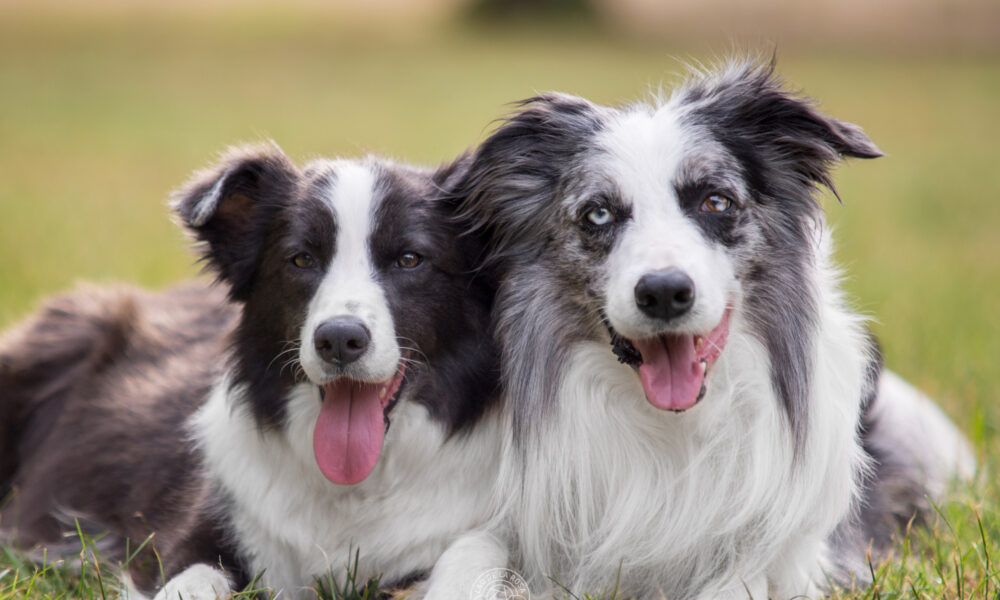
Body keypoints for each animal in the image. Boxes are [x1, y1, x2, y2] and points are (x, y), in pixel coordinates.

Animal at [0, 143, 500, 596]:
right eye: (301, 259)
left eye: (409, 259)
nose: (339, 339)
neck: (354, 490)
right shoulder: (199, 534)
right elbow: (191, 580)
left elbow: (474, 555)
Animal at [448, 62, 976, 600]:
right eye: (599, 213)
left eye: (716, 202)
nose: (663, 292)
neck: (673, 427)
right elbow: (469, 551)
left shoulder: (803, 558)